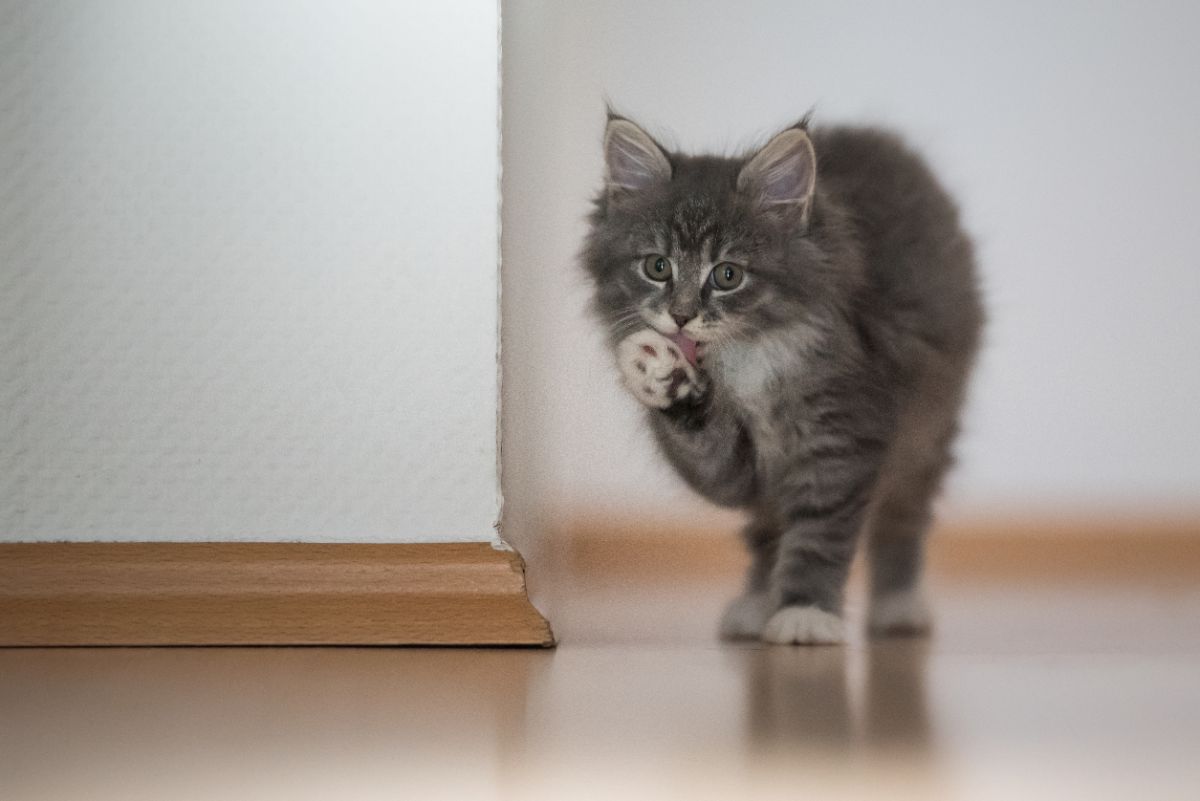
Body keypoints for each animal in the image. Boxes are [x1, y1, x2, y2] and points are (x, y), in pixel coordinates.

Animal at [580, 110, 984, 642]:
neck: (745, 359)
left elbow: (818, 534)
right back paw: (755, 602)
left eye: (727, 275)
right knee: (767, 530)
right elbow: (708, 451)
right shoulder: (737, 472)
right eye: (657, 266)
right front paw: (655, 367)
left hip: (928, 430)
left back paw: (897, 604)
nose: (682, 316)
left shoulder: (842, 438)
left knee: (902, 515)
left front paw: (804, 611)